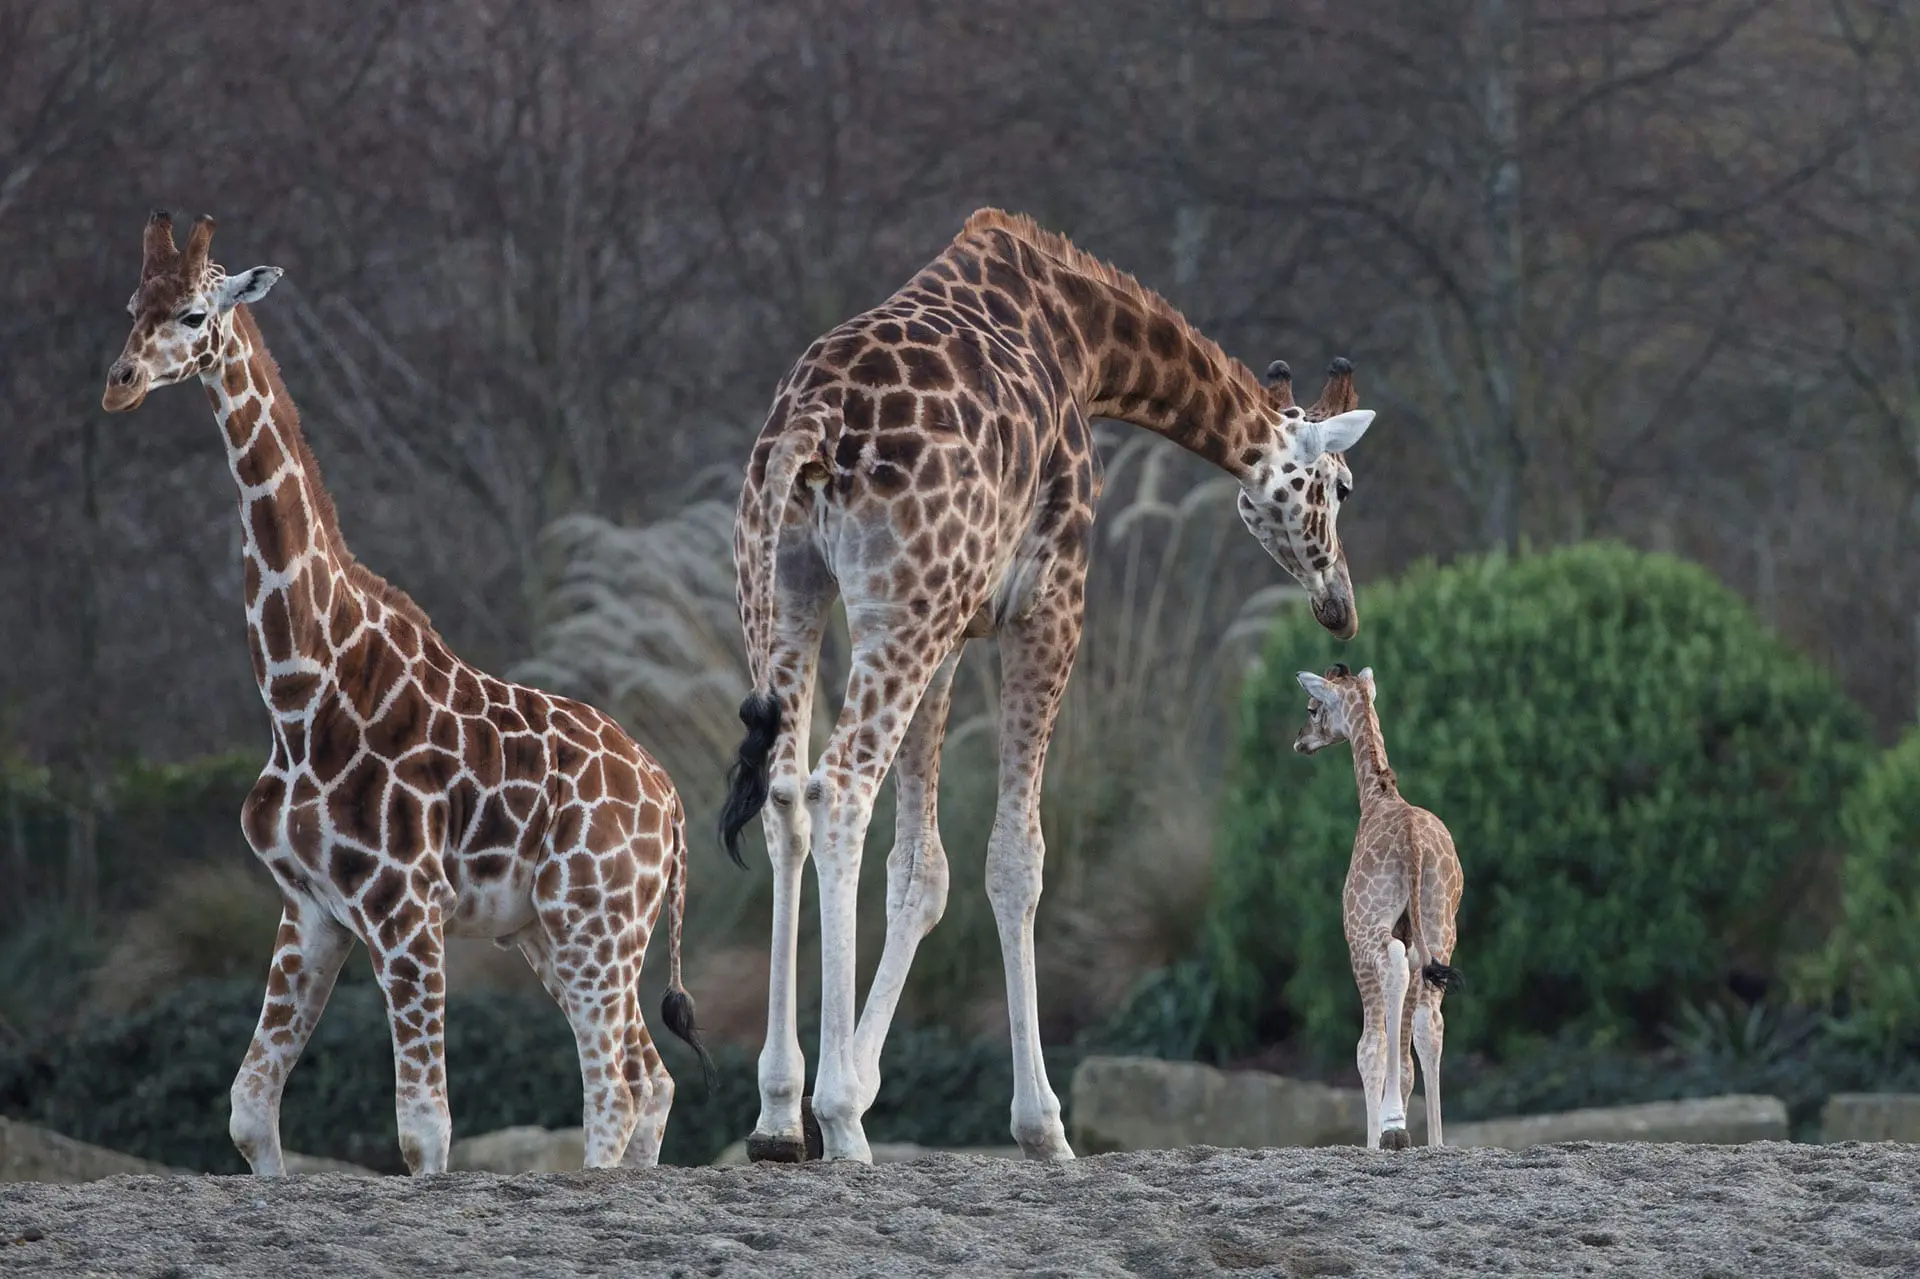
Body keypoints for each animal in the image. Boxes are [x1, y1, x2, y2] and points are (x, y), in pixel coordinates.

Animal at [98, 212, 715, 1175]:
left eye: (196, 313)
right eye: (133, 305)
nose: (120, 384)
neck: (303, 695)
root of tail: (672, 802)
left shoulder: (404, 907)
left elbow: (423, 1130)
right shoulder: (311, 907)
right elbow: (248, 1110)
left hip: (596, 920)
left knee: (614, 1087)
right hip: (552, 929)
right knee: (650, 1077)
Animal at [715, 207, 1380, 1163]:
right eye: (1343, 486)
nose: (1340, 608)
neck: (1086, 339)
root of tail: (811, 423)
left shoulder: (957, 624)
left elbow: (921, 868)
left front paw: (860, 1083)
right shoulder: (1048, 599)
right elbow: (1016, 856)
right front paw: (1042, 1126)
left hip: (788, 592)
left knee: (785, 799)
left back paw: (777, 1115)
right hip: (899, 606)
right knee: (837, 787)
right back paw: (838, 1120)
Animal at [1293, 662, 1463, 1150]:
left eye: (1312, 708)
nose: (1300, 741)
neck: (1378, 796)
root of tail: (1412, 843)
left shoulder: (1356, 935)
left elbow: (1369, 1048)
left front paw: (1379, 1135)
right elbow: (1405, 1056)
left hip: (1367, 928)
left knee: (1392, 975)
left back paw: (1393, 1126)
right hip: (1441, 925)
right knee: (1430, 1021)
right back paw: (1436, 1140)